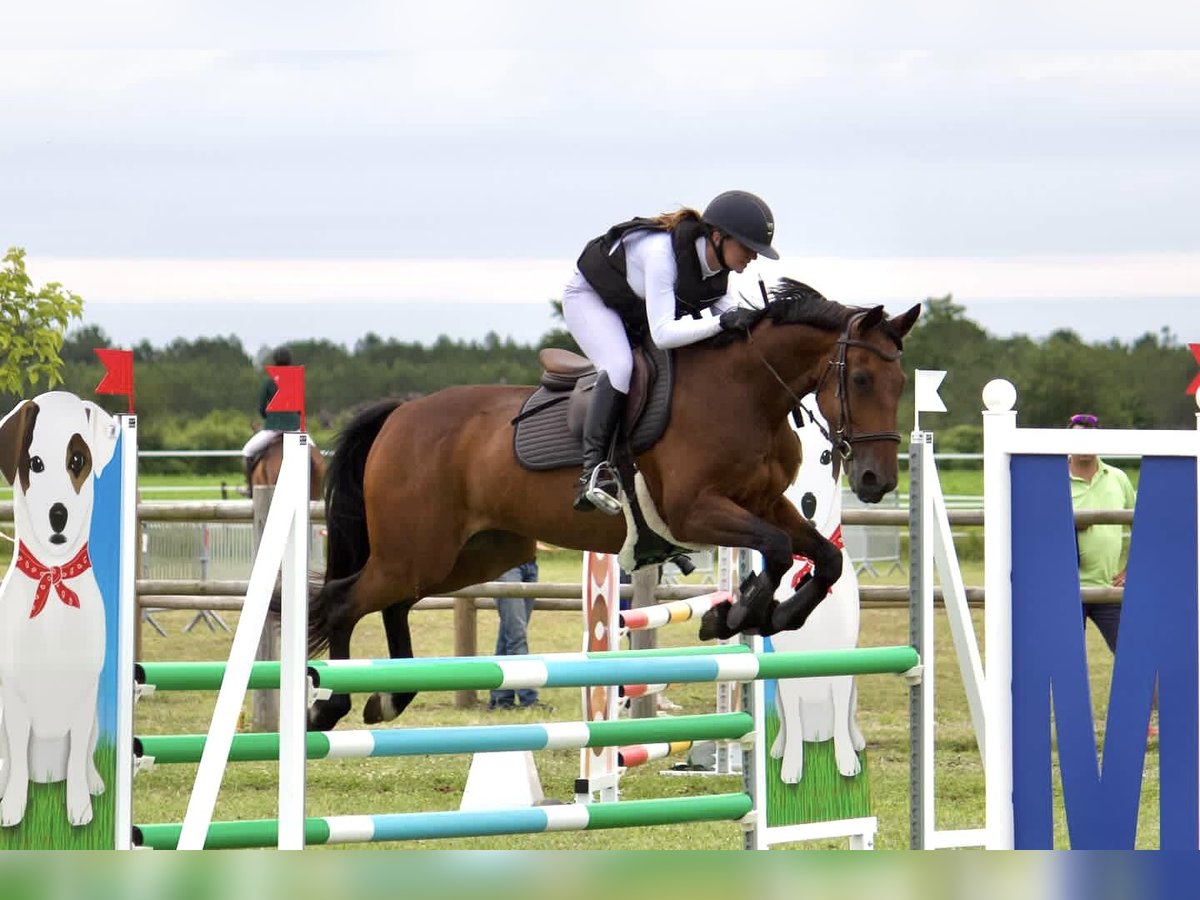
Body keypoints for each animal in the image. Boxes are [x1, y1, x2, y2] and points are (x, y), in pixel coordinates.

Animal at [304, 282, 912, 734]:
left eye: (901, 382)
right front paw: (735, 615)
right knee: (341, 602)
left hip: (469, 555)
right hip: (417, 551)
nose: (877, 480)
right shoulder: (696, 512)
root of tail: (400, 414)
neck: (745, 392)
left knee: (393, 603)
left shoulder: (764, 502)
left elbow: (823, 559)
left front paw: (762, 616)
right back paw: (328, 705)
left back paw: (388, 697)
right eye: (860, 378)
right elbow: (780, 549)